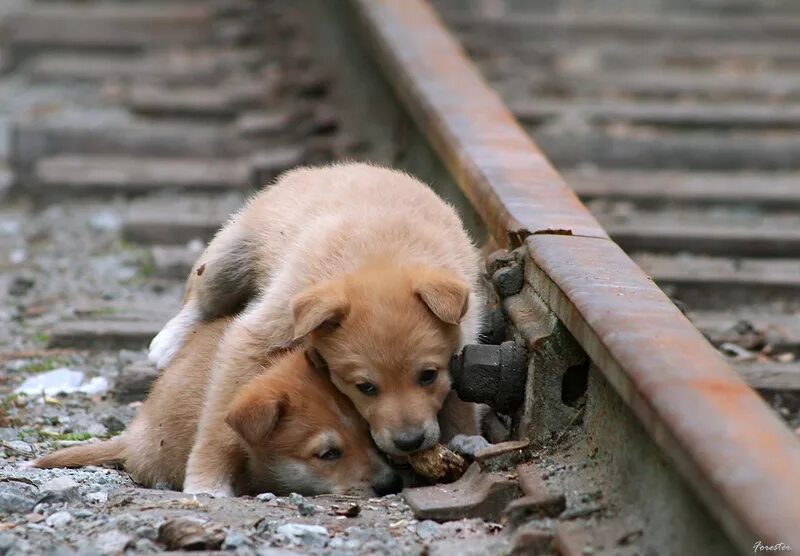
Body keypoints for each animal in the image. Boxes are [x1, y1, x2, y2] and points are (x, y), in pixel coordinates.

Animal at [148, 163, 488, 494]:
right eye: (365, 387)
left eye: (428, 376)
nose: (410, 442)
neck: (382, 255)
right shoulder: (267, 326)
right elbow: (221, 414)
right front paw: (208, 479)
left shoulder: (464, 332)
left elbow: (461, 393)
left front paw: (466, 439)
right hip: (235, 252)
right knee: (202, 293)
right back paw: (166, 343)